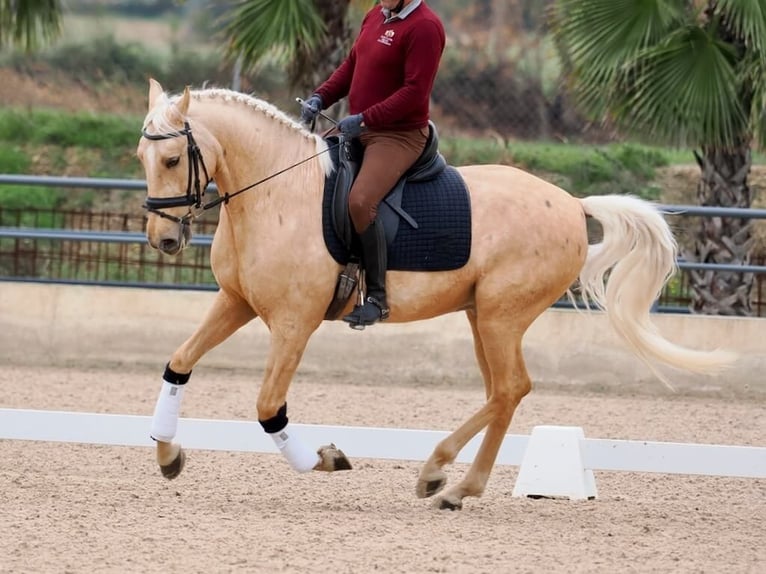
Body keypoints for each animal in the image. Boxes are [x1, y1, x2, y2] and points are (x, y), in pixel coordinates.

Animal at [135, 77, 736, 512]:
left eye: (172, 160)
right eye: (143, 158)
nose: (164, 240)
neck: (278, 192)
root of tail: (572, 203)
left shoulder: (293, 322)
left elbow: (267, 408)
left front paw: (326, 460)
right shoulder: (235, 302)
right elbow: (178, 363)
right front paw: (167, 453)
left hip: (500, 316)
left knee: (509, 389)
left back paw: (440, 475)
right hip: (481, 317)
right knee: (504, 393)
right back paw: (450, 486)